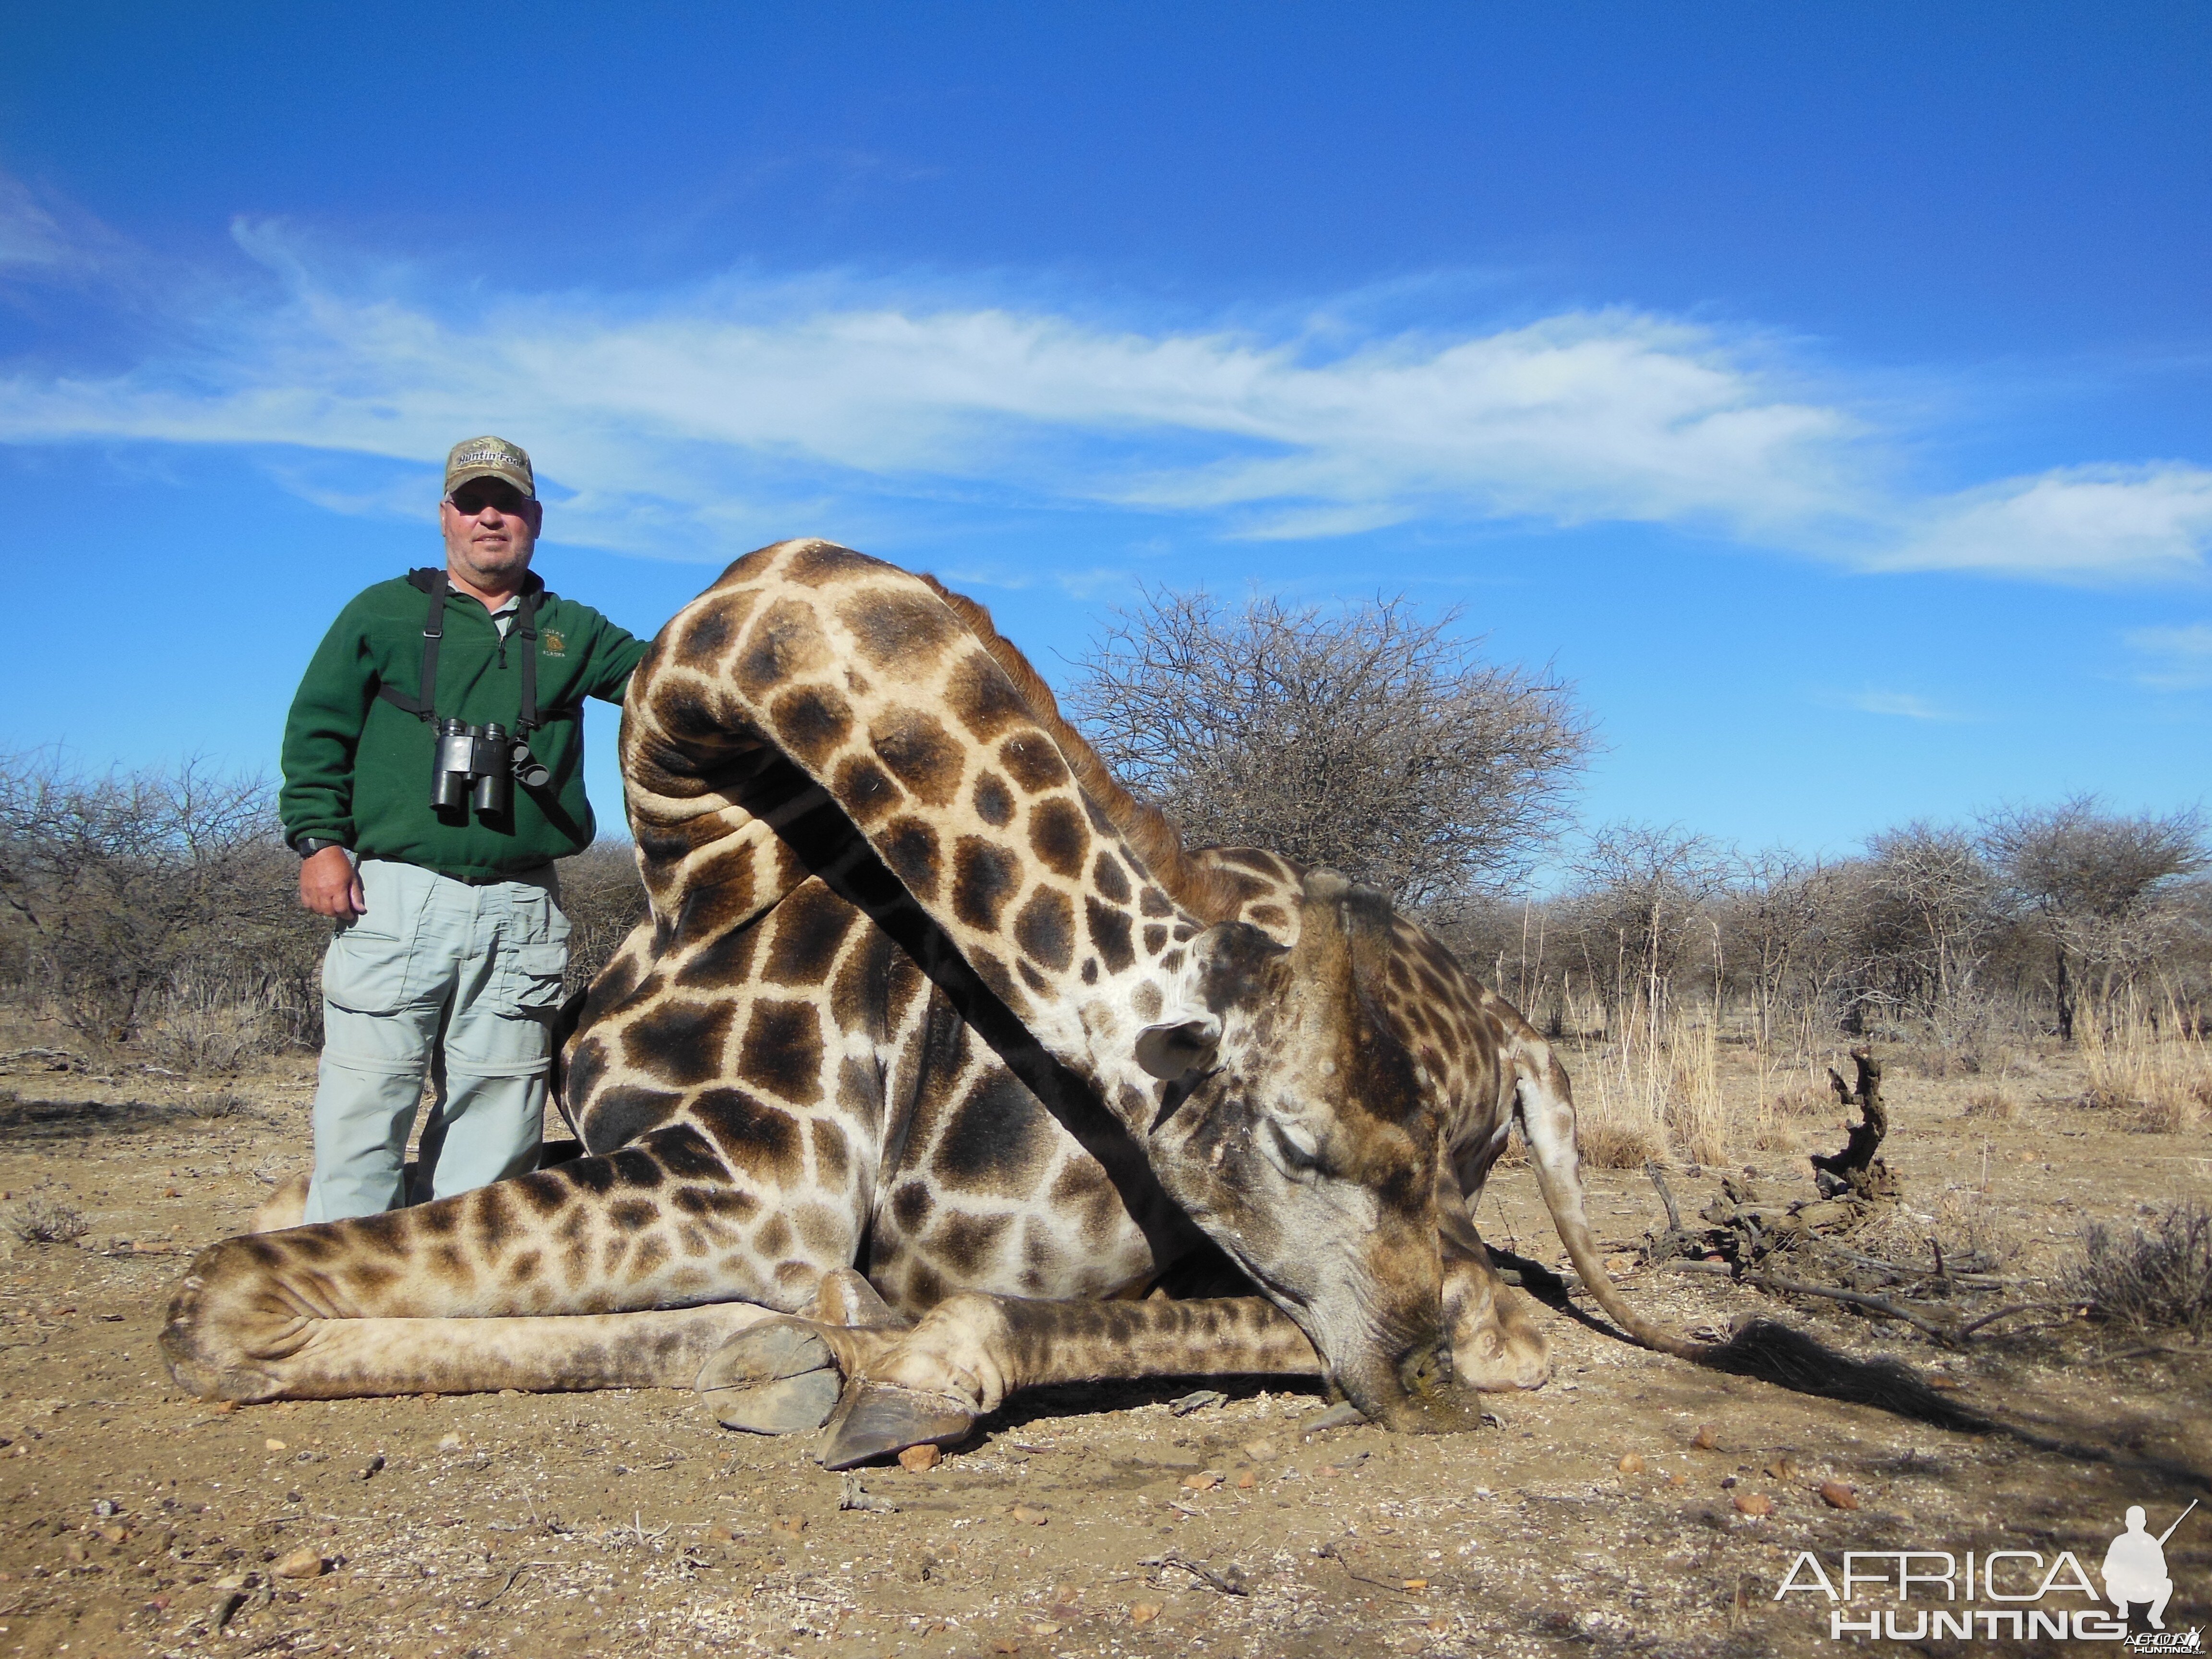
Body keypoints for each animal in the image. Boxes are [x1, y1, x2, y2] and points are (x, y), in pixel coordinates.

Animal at [168, 541, 1690, 1468]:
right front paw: (762, 1344)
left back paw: (916, 1364)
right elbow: (262, 1230)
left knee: (1499, 1321)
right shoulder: (656, 1159)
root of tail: (1518, 1032)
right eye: (1302, 1143)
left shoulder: (756, 1183)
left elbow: (218, 1293)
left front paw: (804, 1341)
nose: (1422, 1391)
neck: (703, 869)